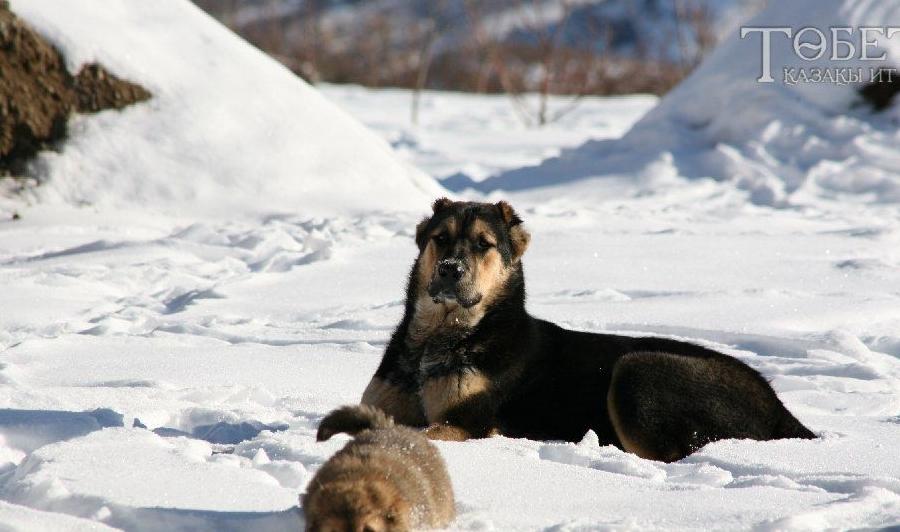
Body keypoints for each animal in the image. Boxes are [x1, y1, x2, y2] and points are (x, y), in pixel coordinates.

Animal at [360, 197, 816, 460]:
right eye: (439, 238)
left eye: (483, 244)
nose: (450, 270)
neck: (439, 338)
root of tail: (781, 411)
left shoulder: (468, 422)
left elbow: (416, 431)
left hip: (639, 369)